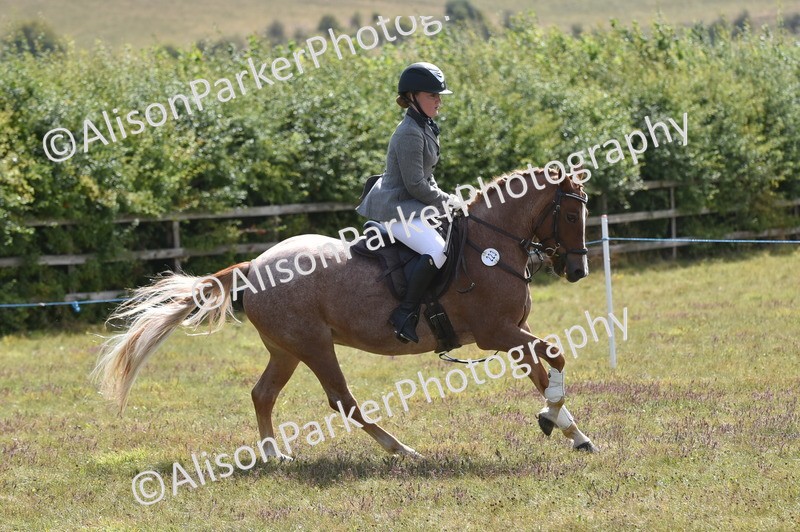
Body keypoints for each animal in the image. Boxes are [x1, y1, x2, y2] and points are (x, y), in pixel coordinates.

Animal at [92, 167, 599, 460]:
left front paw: (568, 430)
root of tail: (254, 266)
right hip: (314, 346)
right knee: (342, 400)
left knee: (262, 394)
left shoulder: (515, 331)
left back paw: (275, 456)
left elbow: (542, 372)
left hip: (286, 349)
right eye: (571, 215)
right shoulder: (497, 332)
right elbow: (556, 355)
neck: (489, 245)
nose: (577, 270)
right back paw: (403, 450)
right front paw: (552, 418)